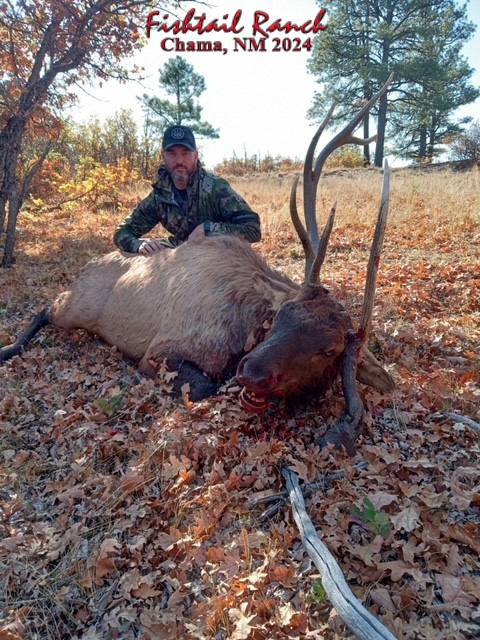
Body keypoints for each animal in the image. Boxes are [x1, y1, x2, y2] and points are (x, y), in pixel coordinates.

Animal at [0, 76, 394, 454]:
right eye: (281, 317)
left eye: (328, 349)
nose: (251, 372)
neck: (242, 328)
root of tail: (85, 268)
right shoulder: (158, 352)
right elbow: (207, 386)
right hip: (76, 308)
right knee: (45, 308)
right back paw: (9, 348)